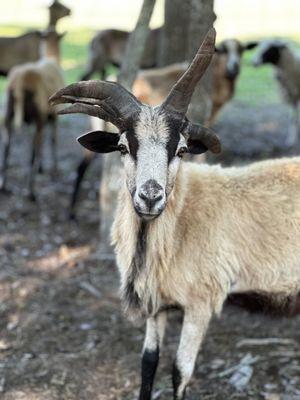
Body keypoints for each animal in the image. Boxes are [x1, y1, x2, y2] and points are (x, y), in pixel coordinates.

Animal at [0, 28, 65, 200]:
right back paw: (31, 192)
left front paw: (42, 167)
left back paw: (3, 186)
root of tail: (20, 81)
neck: (51, 58)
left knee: (6, 150)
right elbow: (53, 140)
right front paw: (54, 169)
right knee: (32, 153)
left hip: (9, 113)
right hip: (38, 116)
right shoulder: (54, 116)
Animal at [50, 28, 300, 400]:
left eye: (181, 150)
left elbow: (179, 371)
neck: (179, 222)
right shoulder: (157, 302)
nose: (150, 197)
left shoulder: (201, 302)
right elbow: (148, 364)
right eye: (122, 146)